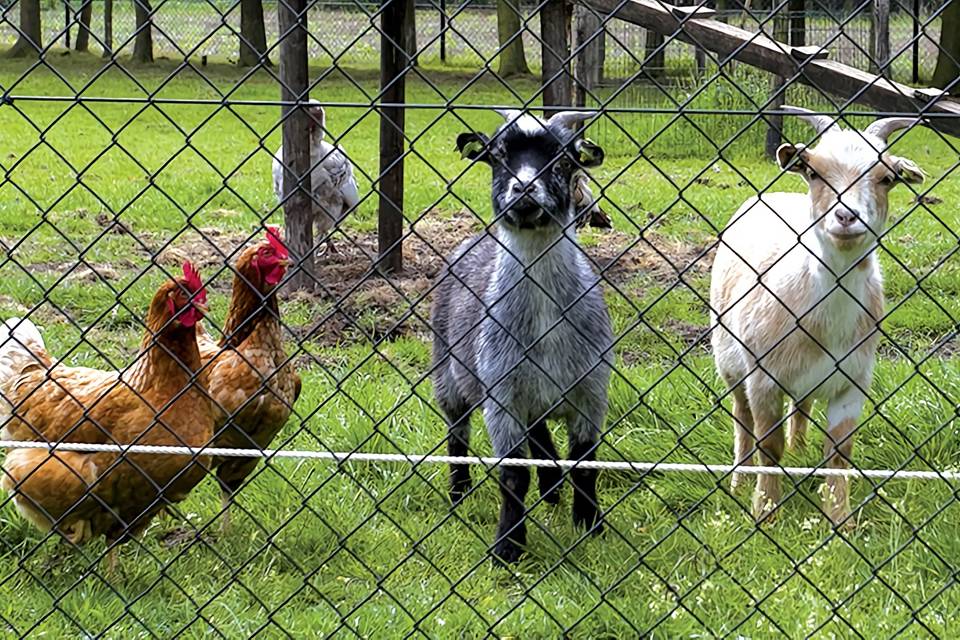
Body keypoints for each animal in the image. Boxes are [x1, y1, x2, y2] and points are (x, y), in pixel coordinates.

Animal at [432, 110, 612, 564]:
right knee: (457, 432)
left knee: (541, 436)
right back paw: (459, 492)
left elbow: (585, 463)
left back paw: (552, 493)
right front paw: (508, 546)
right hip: (447, 373)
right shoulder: (501, 397)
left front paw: (590, 523)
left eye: (565, 160)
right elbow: (514, 475)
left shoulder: (591, 390)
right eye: (496, 156)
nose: (524, 189)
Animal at [712, 105, 924, 524]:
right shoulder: (763, 377)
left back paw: (798, 449)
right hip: (728, 359)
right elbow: (768, 446)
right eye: (813, 172)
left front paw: (840, 520)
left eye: (888, 178)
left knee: (802, 404)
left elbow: (839, 454)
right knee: (741, 417)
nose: (846, 216)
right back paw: (739, 481)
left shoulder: (853, 379)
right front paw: (765, 512)